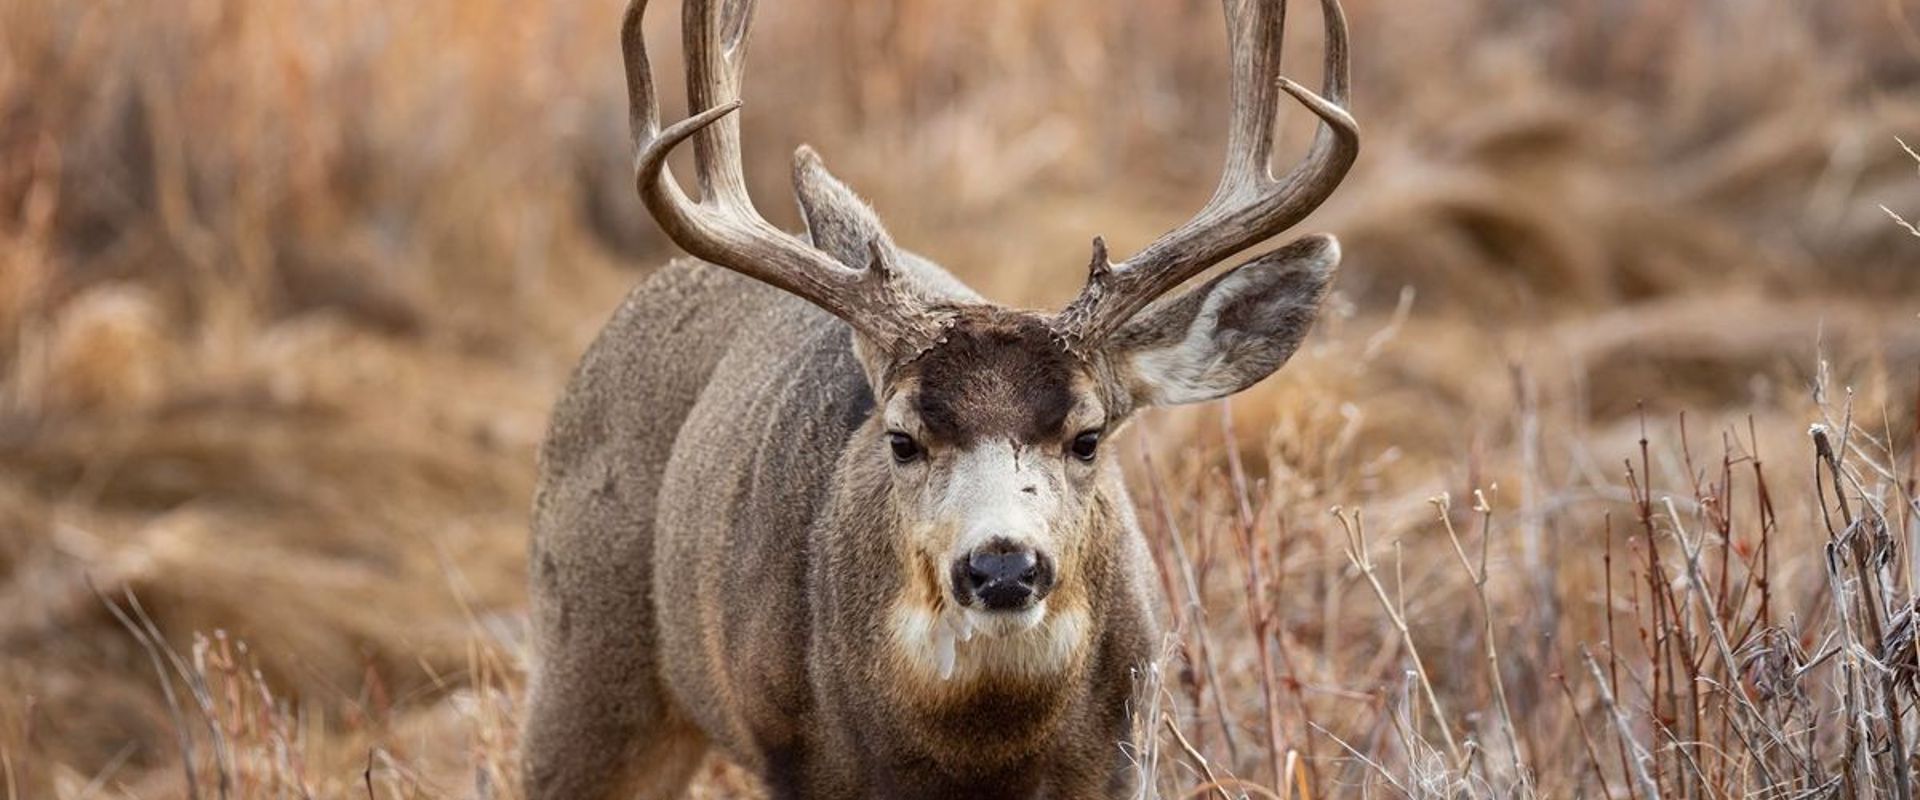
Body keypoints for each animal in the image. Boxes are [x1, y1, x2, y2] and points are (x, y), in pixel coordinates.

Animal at [521, 0, 1357, 795]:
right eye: (901, 439)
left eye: (1088, 437)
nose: (1003, 567)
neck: (981, 755)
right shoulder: (794, 754)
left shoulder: (1127, 750)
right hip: (581, 658)